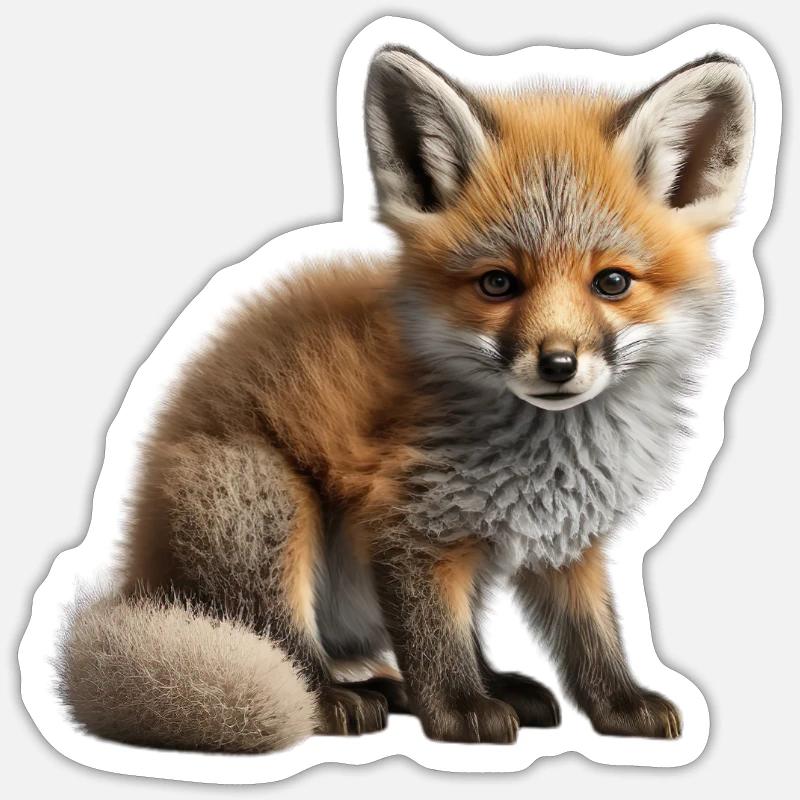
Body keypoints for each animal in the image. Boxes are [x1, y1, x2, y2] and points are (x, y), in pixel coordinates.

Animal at [57, 45, 753, 751]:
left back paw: (457, 686)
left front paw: (618, 705)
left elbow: (593, 635)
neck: (549, 457)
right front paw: (459, 711)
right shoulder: (408, 522)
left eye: (612, 282)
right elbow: (434, 639)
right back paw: (336, 699)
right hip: (267, 505)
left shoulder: (566, 539)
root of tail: (137, 574)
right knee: (282, 642)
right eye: (498, 283)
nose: (558, 364)